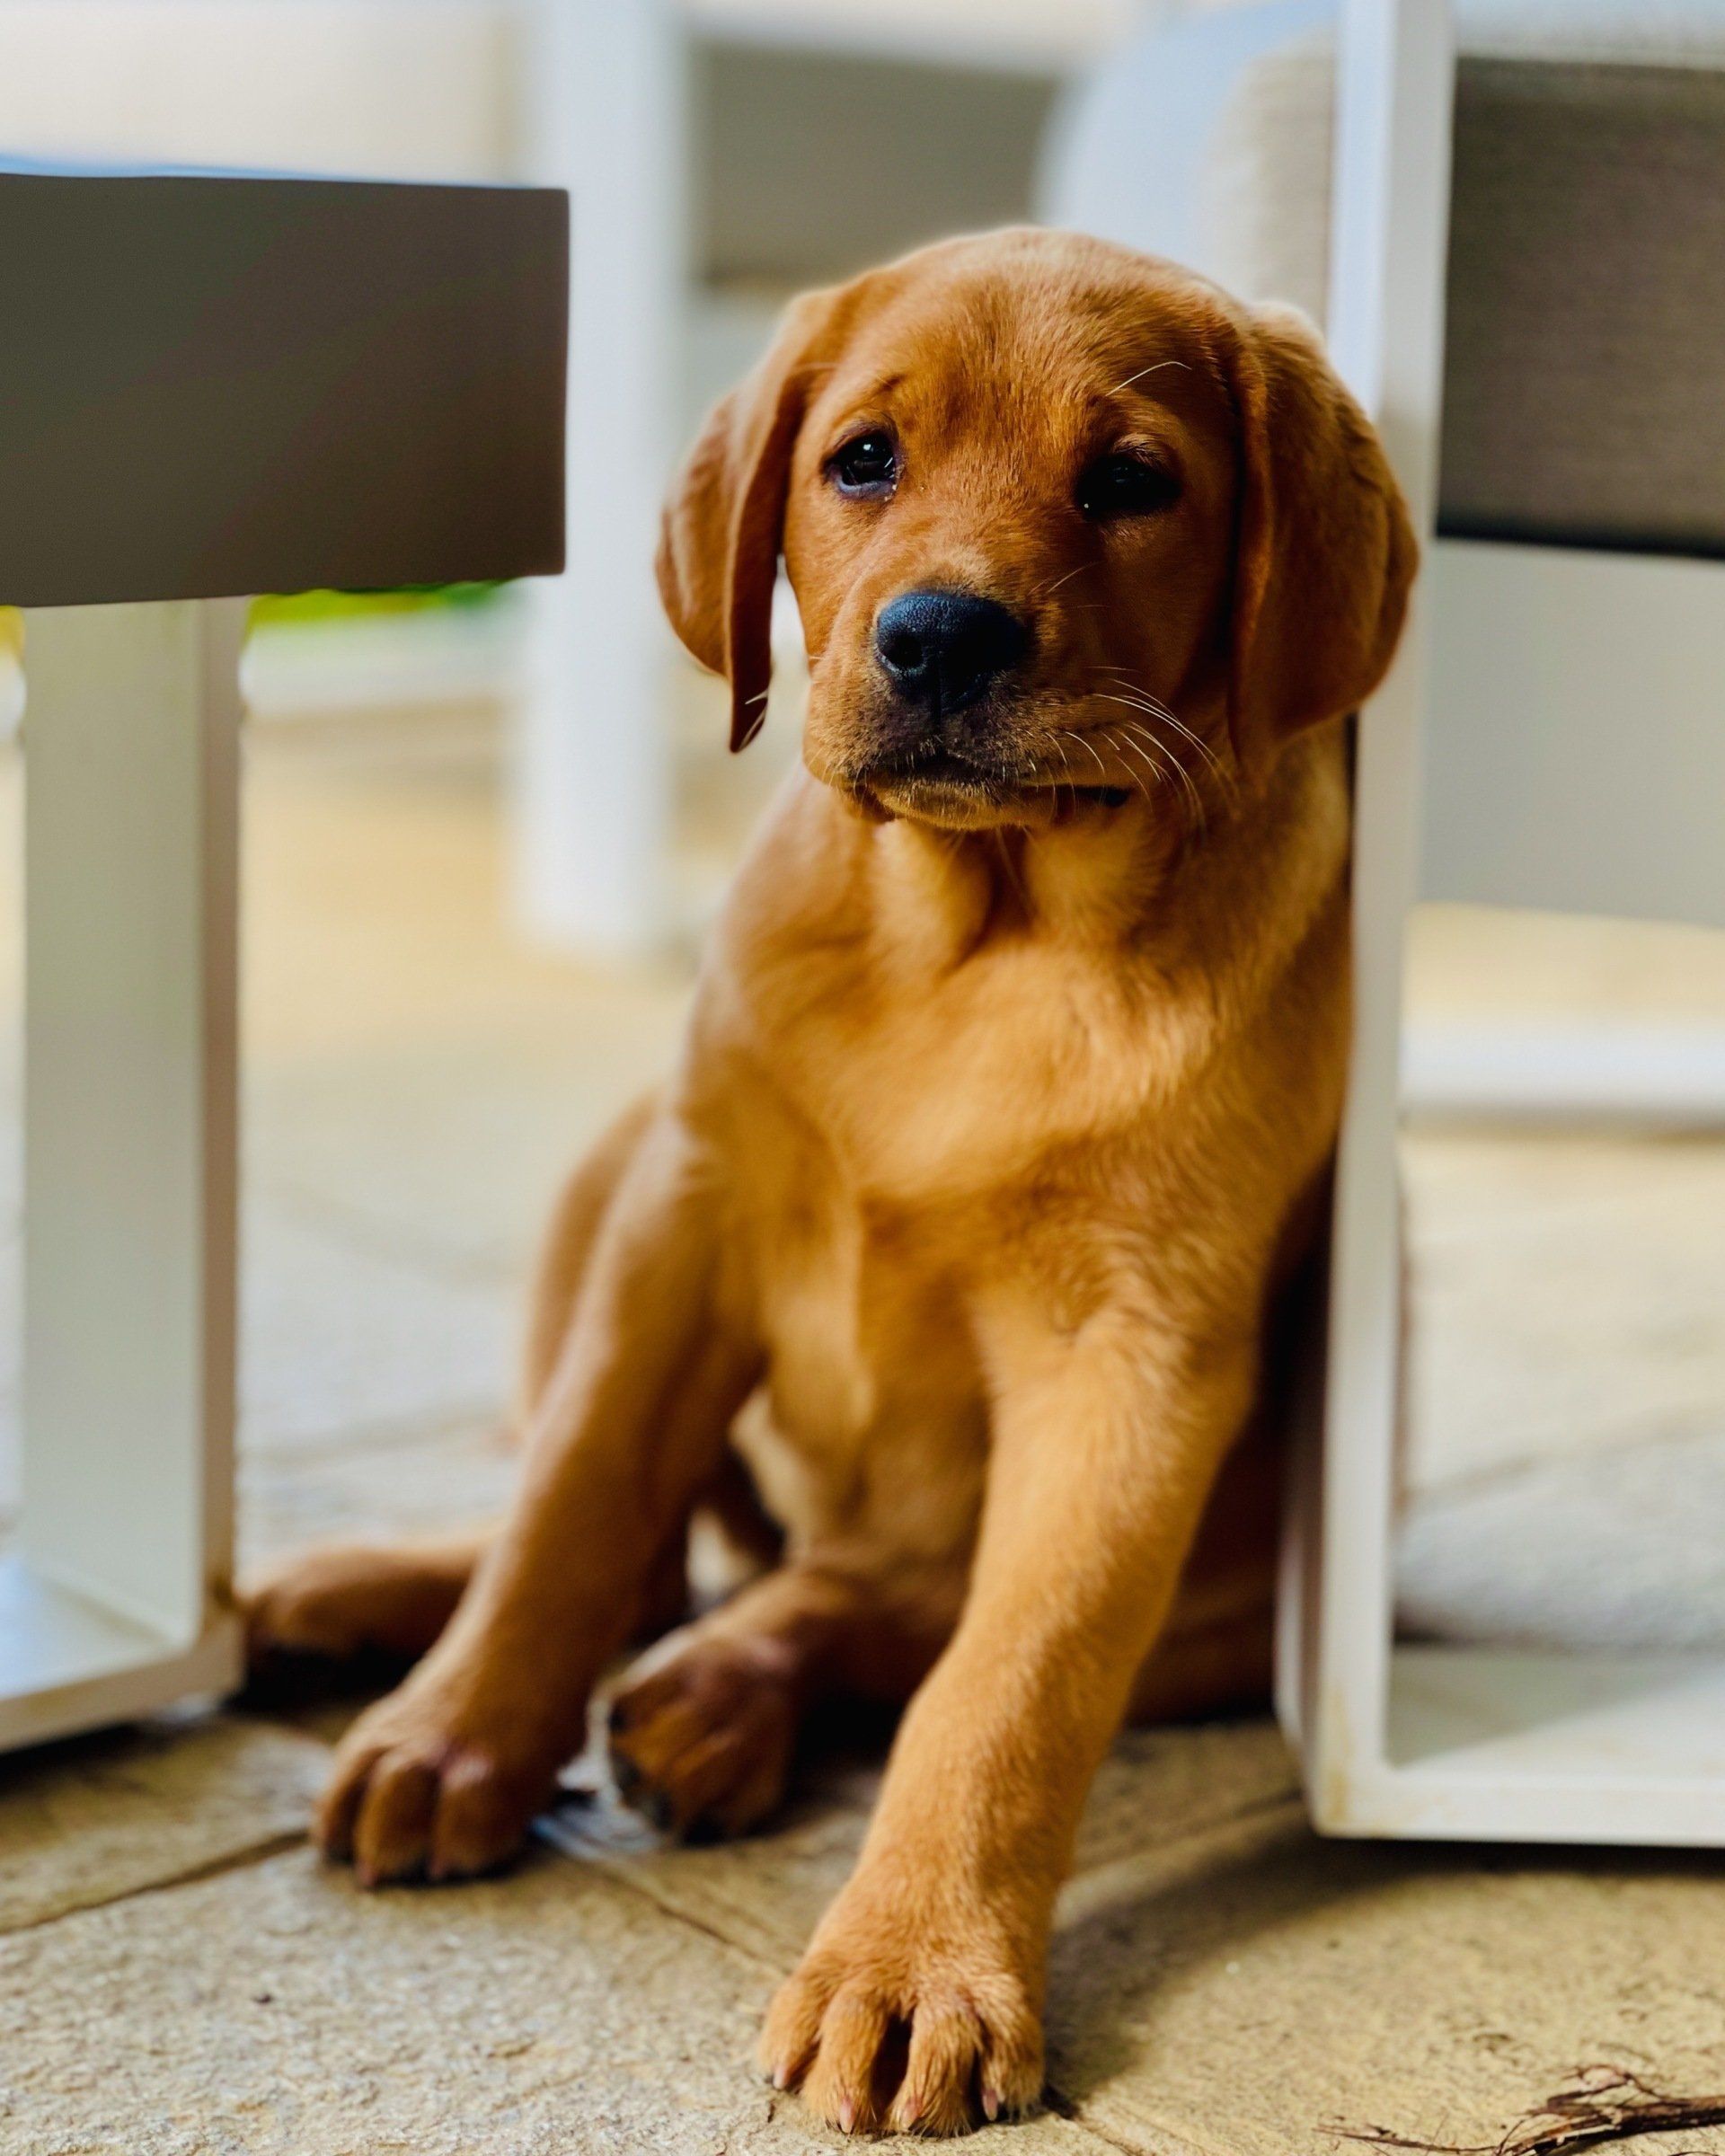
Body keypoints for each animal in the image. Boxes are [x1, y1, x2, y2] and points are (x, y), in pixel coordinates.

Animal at [247, 227, 1413, 2137]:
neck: (974, 929)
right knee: (651, 1554)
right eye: (863, 458)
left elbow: (1006, 1684)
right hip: (601, 1173)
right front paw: (456, 1734)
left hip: (1241, 1586)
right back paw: (363, 1603)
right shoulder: (685, 1217)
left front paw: (915, 1962)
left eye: (1135, 482)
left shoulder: (1136, 1362)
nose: (940, 634)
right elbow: (574, 1502)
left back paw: (718, 1704)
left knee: (853, 1608)